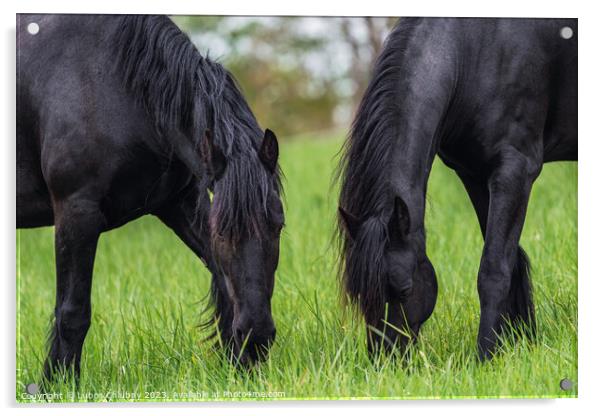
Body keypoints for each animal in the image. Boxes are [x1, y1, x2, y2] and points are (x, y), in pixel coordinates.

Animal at [16, 13, 284, 378]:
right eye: (223, 233)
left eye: (279, 225)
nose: (256, 338)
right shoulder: (76, 211)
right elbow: (72, 312)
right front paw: (57, 383)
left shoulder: (180, 203)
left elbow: (222, 282)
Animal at [336, 17, 576, 360]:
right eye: (359, 296)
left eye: (403, 289)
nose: (383, 361)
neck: (474, 51)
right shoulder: (474, 174)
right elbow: (512, 259)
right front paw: (522, 342)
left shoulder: (515, 170)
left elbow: (493, 269)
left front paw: (486, 356)